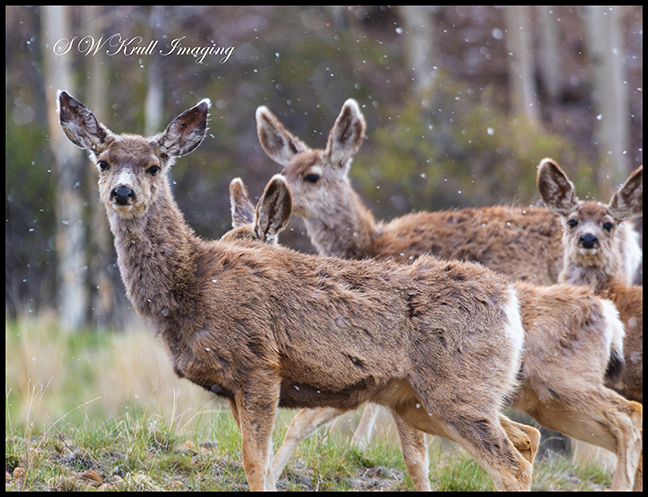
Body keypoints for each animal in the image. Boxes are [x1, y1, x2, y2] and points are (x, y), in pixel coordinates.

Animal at [58, 90, 539, 491]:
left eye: (154, 166)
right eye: (103, 162)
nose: (123, 192)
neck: (193, 283)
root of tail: (509, 302)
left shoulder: (259, 366)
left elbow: (255, 464)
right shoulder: (231, 386)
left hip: (455, 389)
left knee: (511, 464)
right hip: (420, 399)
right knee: (526, 438)